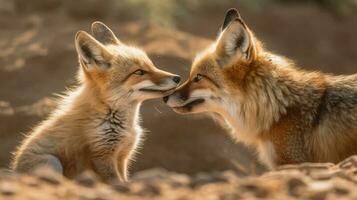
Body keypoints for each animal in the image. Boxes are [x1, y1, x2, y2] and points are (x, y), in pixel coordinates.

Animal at [11, 21, 181, 181]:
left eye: (152, 65)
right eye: (139, 72)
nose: (177, 78)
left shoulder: (123, 156)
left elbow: (124, 180)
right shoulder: (102, 156)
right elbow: (116, 181)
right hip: (51, 161)